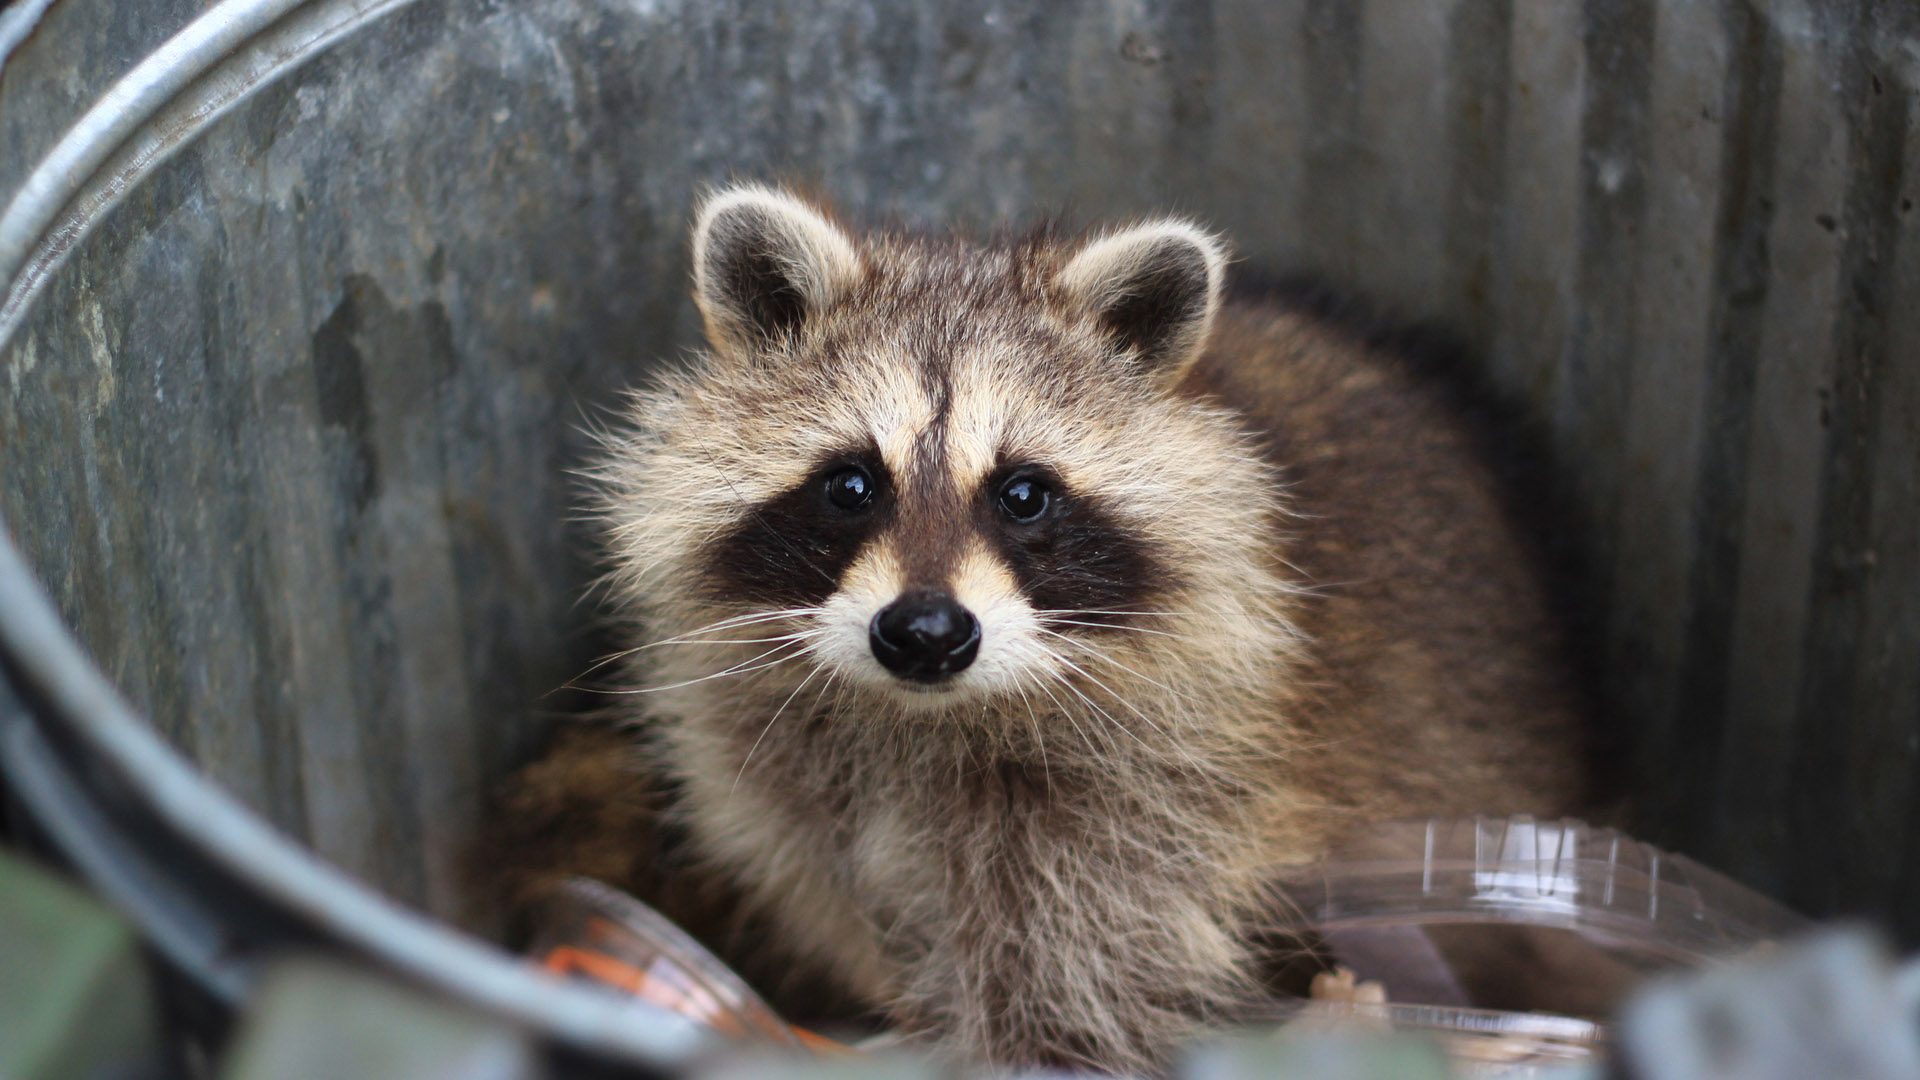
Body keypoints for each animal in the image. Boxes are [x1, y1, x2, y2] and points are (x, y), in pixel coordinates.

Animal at [549, 184, 1582, 1068]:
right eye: (850, 485)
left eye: (1023, 495)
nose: (926, 632)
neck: (924, 719)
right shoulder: (783, 787)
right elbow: (843, 900)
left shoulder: (1155, 810)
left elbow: (1073, 987)